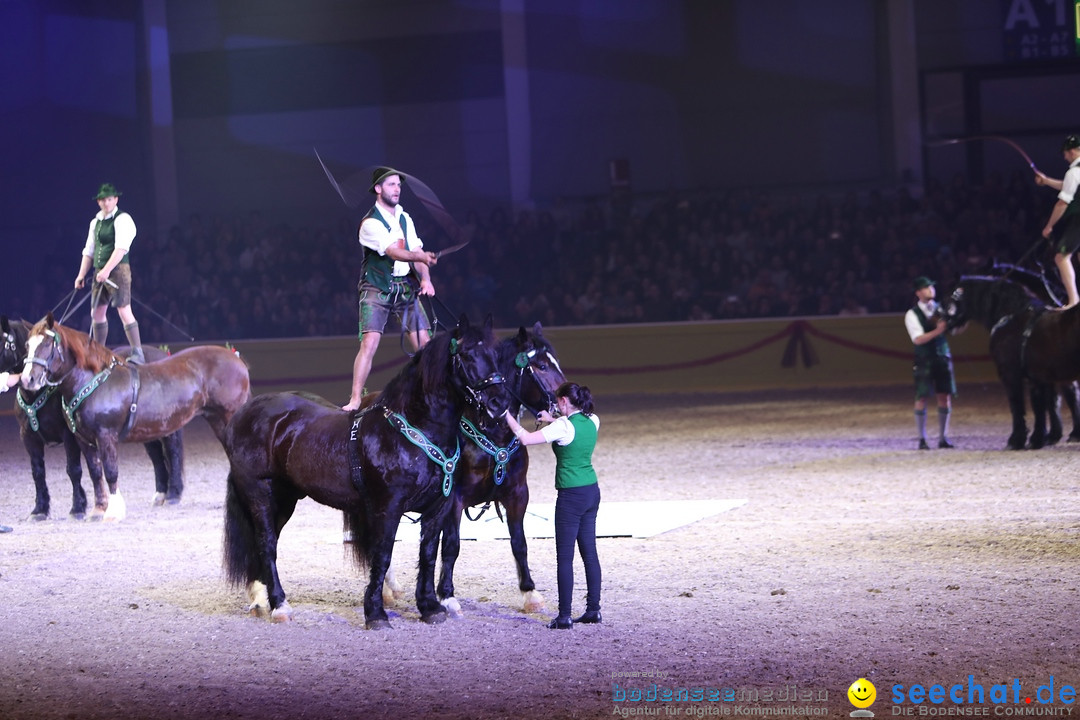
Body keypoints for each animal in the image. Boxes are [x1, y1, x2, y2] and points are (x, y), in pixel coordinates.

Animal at [1, 317, 182, 520]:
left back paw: (173, 494)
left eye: (47, 345)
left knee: (172, 451)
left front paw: (78, 507)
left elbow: (74, 470)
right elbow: (38, 472)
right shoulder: (29, 437)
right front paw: (40, 509)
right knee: (156, 457)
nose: (28, 379)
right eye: (27, 346)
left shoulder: (70, 436)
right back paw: (160, 494)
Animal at [21, 315, 250, 518]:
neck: (94, 382)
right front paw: (98, 509)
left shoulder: (106, 435)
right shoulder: (82, 440)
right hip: (216, 420)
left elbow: (110, 471)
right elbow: (95, 472)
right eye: (27, 345)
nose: (27, 379)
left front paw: (113, 511)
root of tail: (237, 360)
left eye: (47, 344)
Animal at [221, 313, 511, 626]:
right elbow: (382, 555)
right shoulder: (388, 508)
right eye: (467, 355)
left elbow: (428, 554)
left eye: (496, 354)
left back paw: (264, 601)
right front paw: (375, 613)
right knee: (266, 545)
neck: (413, 429)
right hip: (260, 494)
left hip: (285, 499)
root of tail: (243, 415)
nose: (499, 401)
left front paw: (430, 607)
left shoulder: (437, 509)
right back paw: (279, 605)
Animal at [432, 323, 565, 617]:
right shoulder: (454, 499)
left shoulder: (517, 495)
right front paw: (446, 595)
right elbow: (451, 545)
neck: (493, 431)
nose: (563, 404)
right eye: (540, 365)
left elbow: (519, 543)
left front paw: (530, 592)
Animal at [941, 278, 1080, 451]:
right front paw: (1040, 439)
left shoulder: (1010, 374)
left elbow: (1017, 405)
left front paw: (1016, 440)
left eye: (949, 298)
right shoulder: (1040, 378)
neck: (1011, 316)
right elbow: (1043, 406)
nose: (943, 321)